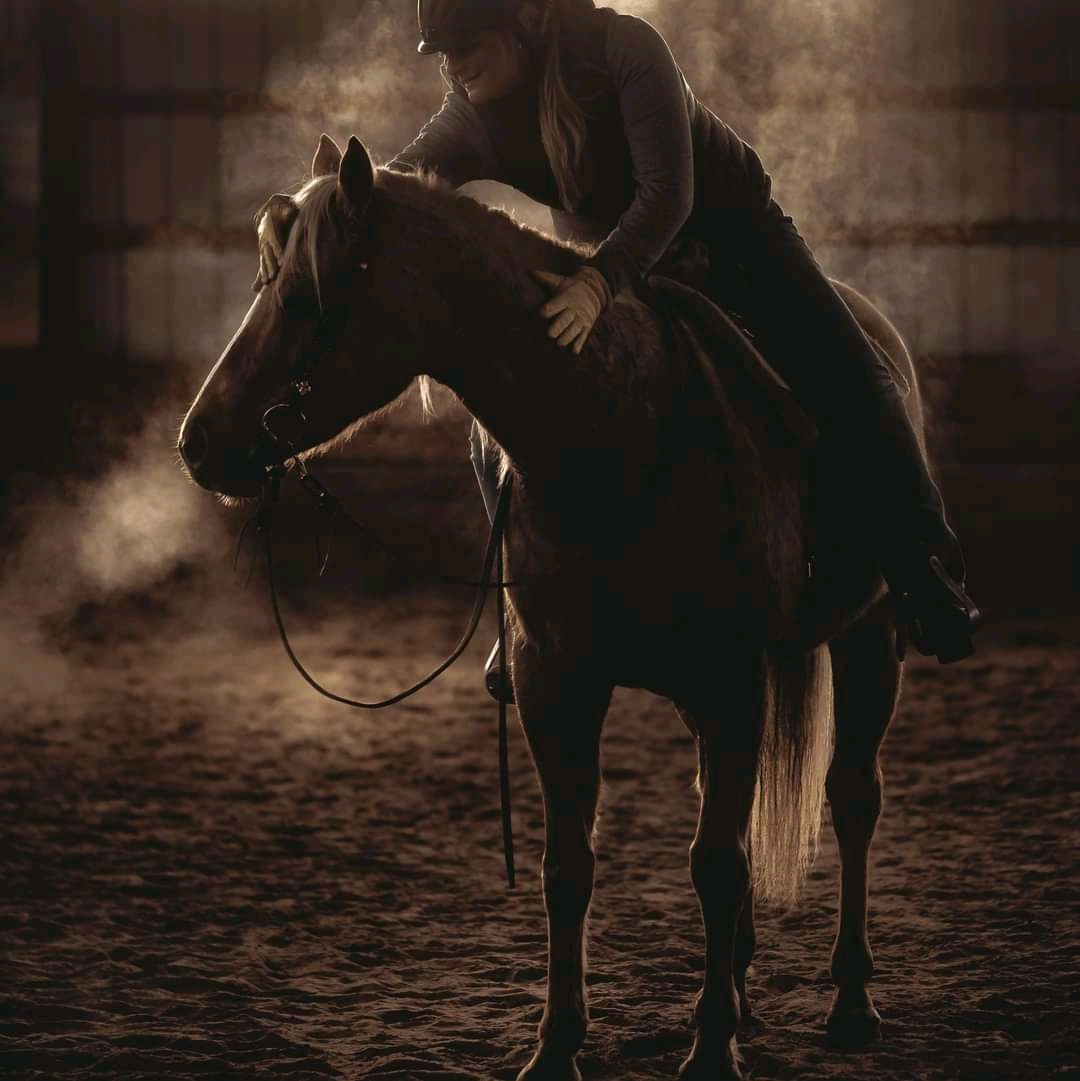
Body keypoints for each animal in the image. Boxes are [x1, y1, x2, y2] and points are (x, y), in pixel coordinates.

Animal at [179, 132, 920, 1081]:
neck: (619, 435)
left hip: (870, 640)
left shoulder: (730, 679)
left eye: (304, 296)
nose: (198, 441)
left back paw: (851, 998)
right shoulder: (555, 683)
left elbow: (717, 862)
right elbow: (568, 866)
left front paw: (711, 1046)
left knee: (854, 797)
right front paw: (558, 1044)